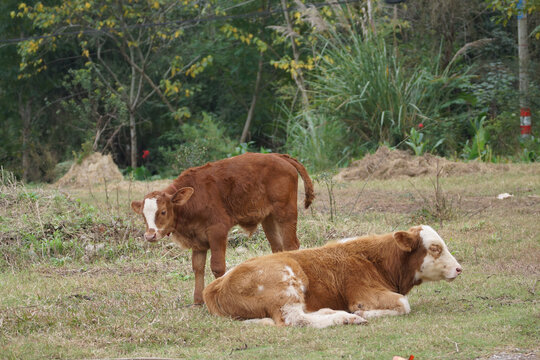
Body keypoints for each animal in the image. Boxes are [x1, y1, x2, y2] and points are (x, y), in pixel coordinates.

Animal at [131, 152, 314, 304]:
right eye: (143, 215)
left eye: (163, 211)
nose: (150, 236)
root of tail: (279, 156)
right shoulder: (197, 239)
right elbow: (198, 267)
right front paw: (198, 301)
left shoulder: (217, 230)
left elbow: (217, 267)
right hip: (268, 219)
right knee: (277, 248)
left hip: (286, 213)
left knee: (291, 245)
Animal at [202, 224, 460, 328]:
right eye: (435, 248)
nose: (459, 268)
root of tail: (216, 285)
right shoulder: (363, 293)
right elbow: (403, 303)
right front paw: (361, 313)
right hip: (286, 282)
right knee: (297, 319)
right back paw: (347, 318)